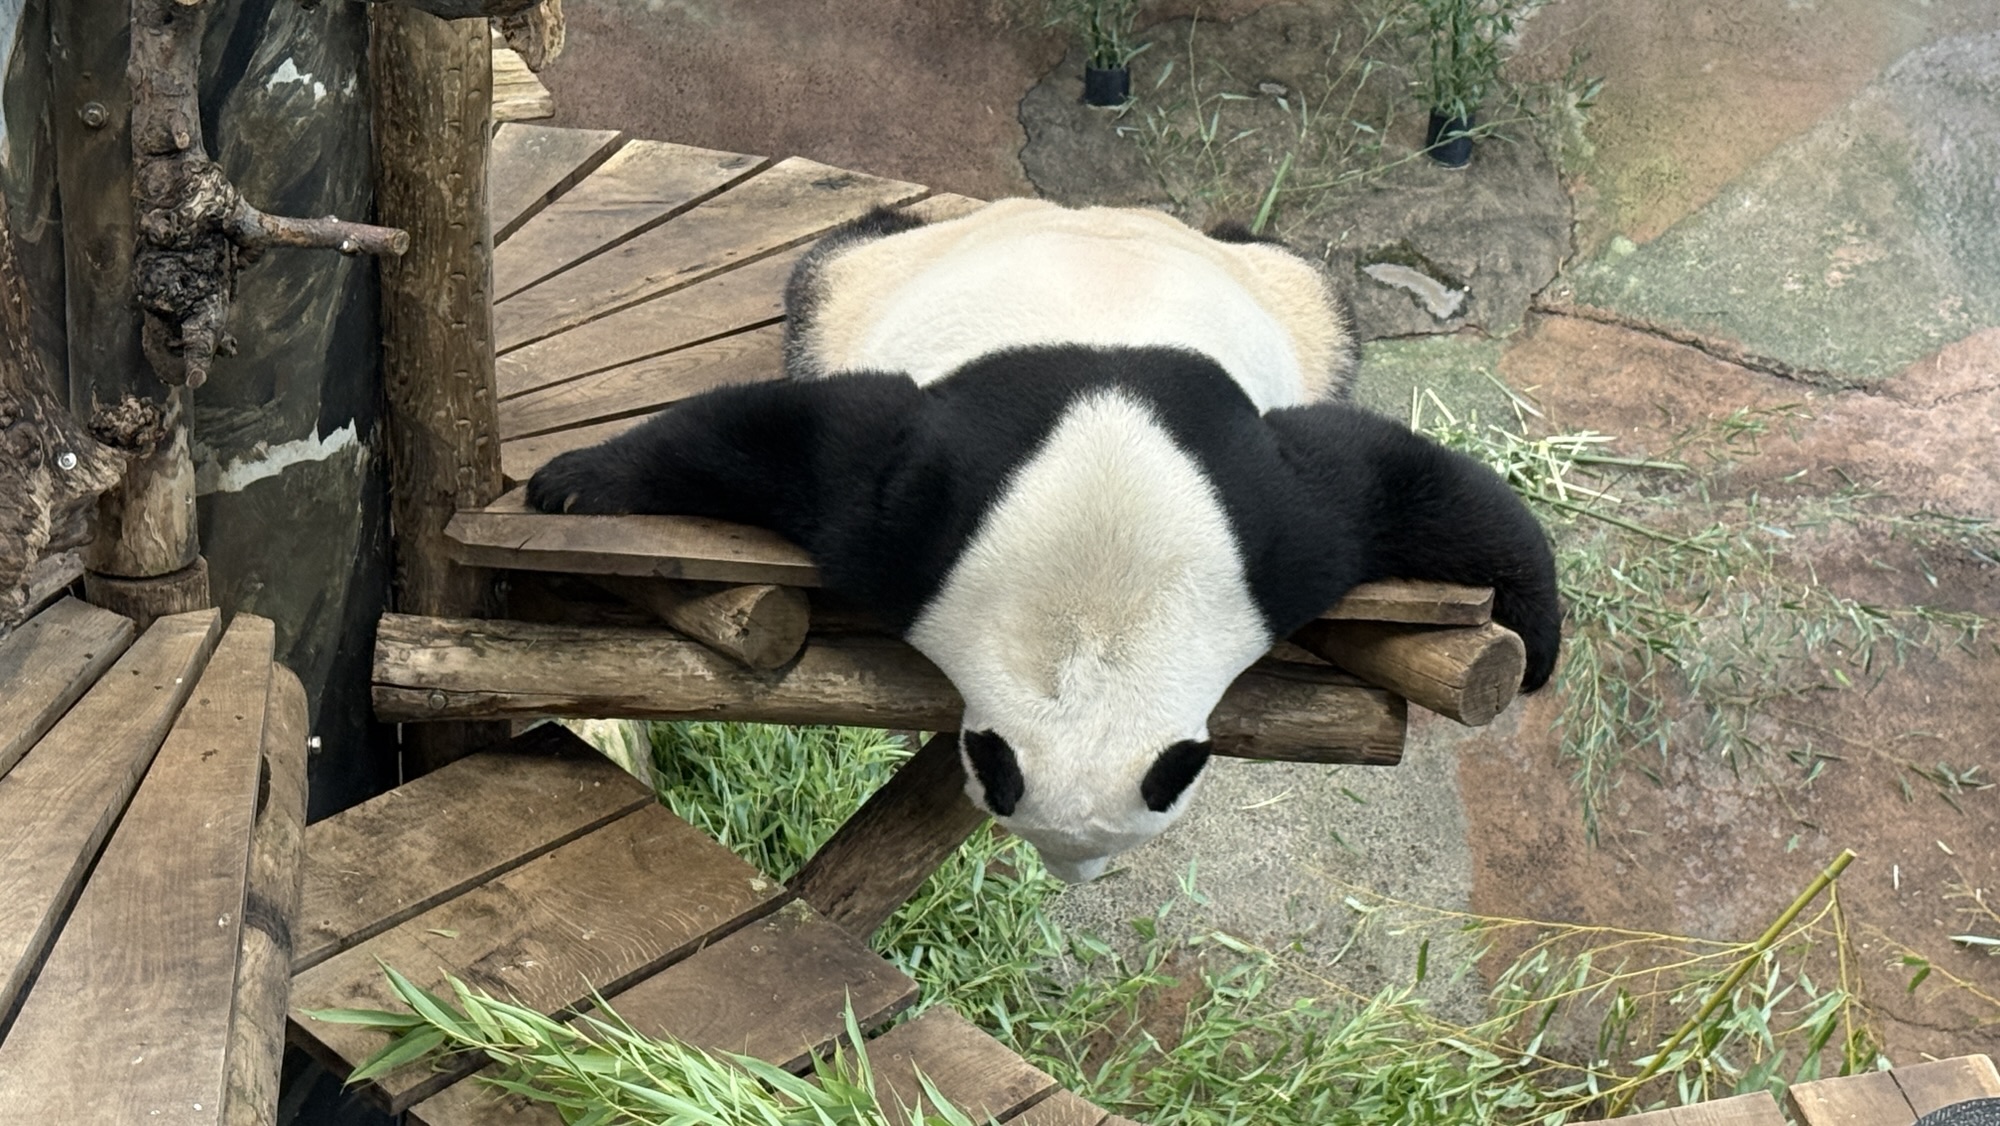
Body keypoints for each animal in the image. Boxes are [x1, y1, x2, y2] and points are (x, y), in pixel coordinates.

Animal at [527, 198, 1560, 883]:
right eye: (1020, 827)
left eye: (1124, 846)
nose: (1074, 883)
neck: (1095, 624)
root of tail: (1085, 209)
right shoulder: (921, 519)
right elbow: (795, 443)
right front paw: (571, 482)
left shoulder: (1262, 530)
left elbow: (1402, 490)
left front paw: (1538, 649)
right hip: (873, 280)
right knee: (839, 258)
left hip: (1293, 300)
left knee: (1296, 275)